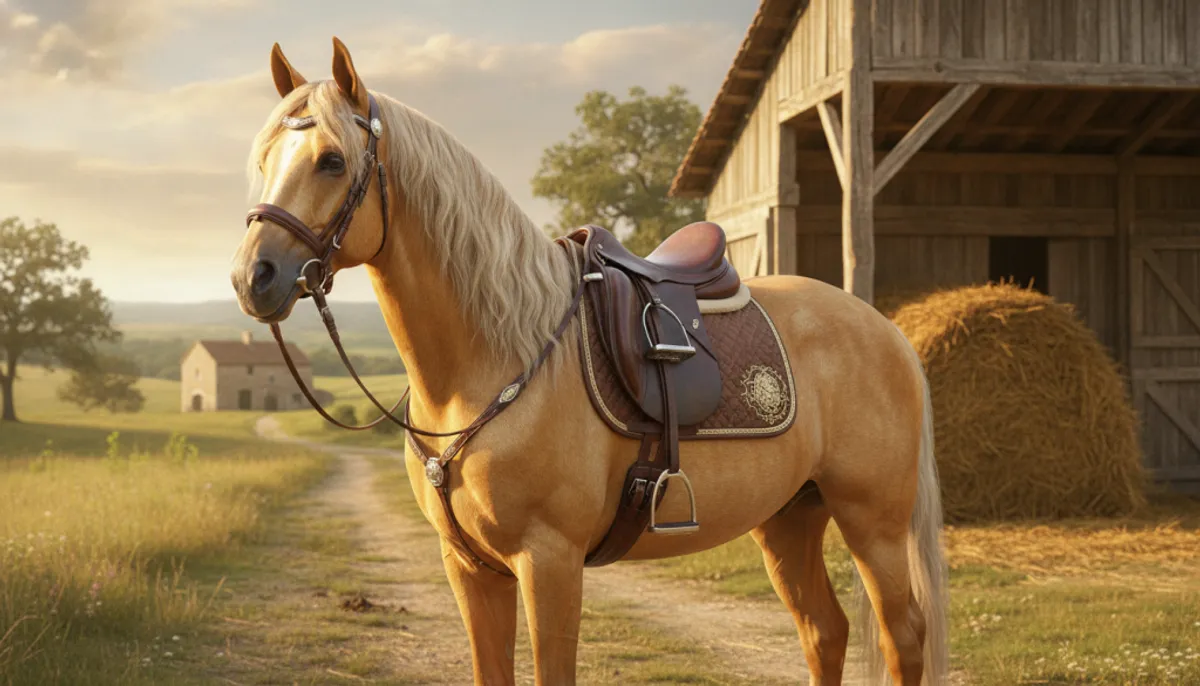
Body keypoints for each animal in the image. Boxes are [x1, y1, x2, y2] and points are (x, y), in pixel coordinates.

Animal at [230, 37, 949, 686]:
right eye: (262, 159)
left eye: (330, 160)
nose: (251, 277)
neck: (497, 357)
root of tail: (886, 328)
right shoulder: (469, 567)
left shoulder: (548, 561)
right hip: (790, 519)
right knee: (825, 631)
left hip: (873, 522)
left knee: (904, 636)